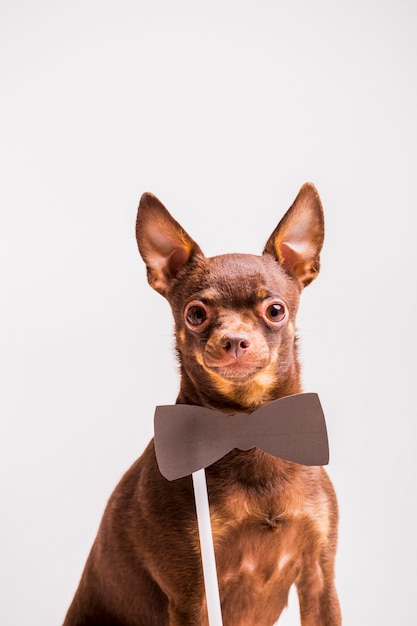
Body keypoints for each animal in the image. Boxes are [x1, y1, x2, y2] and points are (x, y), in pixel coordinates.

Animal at [62, 183, 342, 620]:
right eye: (196, 314)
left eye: (275, 310)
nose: (234, 340)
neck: (245, 422)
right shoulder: (192, 593)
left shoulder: (320, 578)